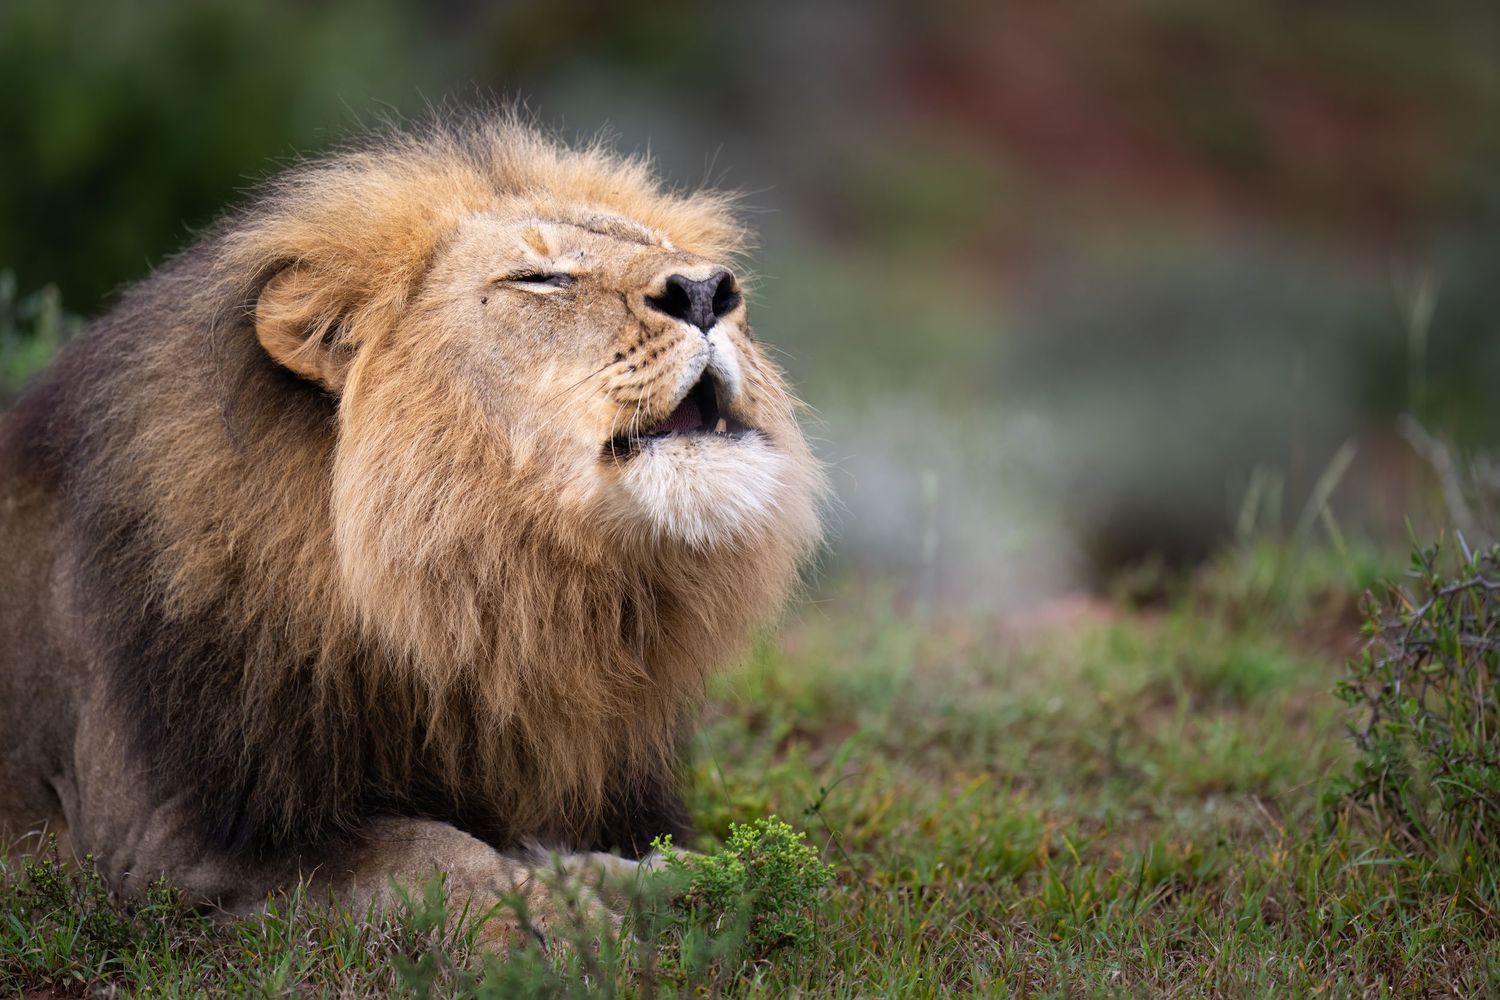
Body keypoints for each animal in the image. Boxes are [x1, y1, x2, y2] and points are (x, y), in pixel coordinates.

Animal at [0, 116, 823, 948]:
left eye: (664, 249)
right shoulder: (166, 838)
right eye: (540, 280)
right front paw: (553, 924)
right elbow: (429, 853)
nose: (709, 291)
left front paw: (685, 880)